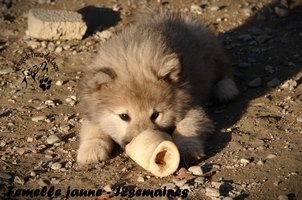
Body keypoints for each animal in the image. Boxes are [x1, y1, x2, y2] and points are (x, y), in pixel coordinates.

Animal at [76, 7, 238, 164]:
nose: (135, 141)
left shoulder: (192, 107)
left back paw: (225, 90)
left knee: (224, 69)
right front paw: (91, 150)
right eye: (124, 116)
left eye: (155, 115)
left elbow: (187, 126)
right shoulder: (92, 112)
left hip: (209, 47)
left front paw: (187, 146)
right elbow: (92, 130)